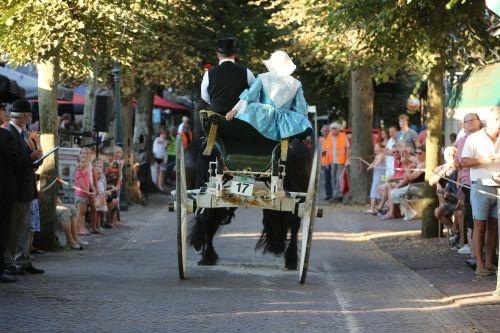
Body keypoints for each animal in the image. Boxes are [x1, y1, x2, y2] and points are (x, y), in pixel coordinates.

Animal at [186, 136, 310, 268]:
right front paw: (291, 258)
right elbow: (294, 225)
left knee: (207, 220)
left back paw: (207, 255)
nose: (277, 247)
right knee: (208, 221)